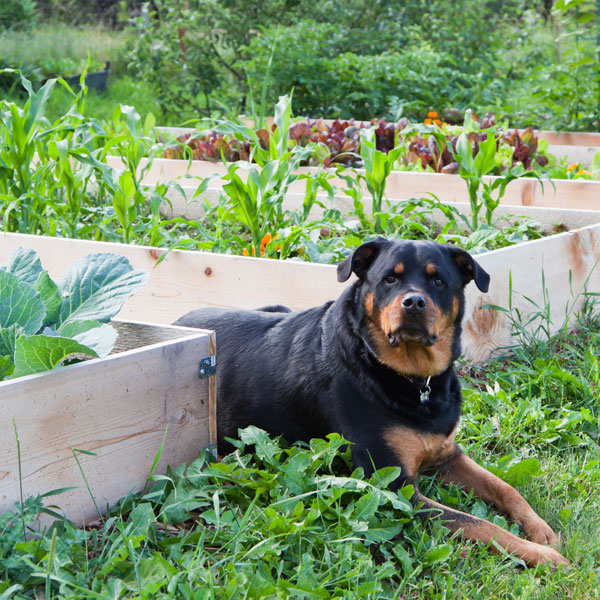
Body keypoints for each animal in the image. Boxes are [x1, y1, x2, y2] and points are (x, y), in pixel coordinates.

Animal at [176, 238, 568, 568]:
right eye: (389, 279)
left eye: (438, 281)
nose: (414, 302)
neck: (411, 379)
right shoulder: (395, 487)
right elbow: (478, 523)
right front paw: (542, 555)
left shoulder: (447, 455)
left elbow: (505, 488)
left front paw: (541, 529)